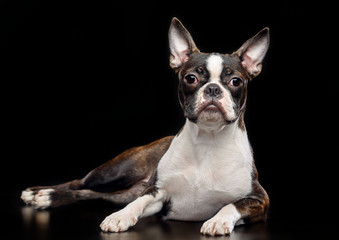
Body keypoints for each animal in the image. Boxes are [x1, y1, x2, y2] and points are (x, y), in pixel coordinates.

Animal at [21, 17, 270, 235]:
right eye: (190, 78)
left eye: (236, 81)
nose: (213, 89)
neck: (208, 141)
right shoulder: (155, 192)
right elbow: (138, 204)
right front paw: (119, 216)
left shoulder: (259, 199)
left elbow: (231, 205)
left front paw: (217, 221)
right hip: (116, 170)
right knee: (80, 183)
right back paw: (40, 193)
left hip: (122, 190)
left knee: (91, 194)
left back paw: (46, 197)